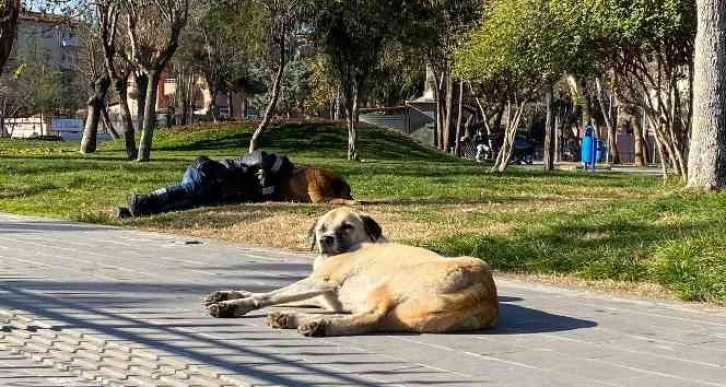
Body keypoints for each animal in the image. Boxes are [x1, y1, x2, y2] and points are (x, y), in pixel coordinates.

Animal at [203, 208, 500, 338]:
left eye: (347, 227)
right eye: (322, 228)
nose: (325, 240)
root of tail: (486, 293)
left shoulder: (320, 281)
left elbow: (268, 295)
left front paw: (232, 305)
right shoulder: (321, 294)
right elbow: (269, 291)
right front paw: (225, 294)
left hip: (386, 286)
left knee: (371, 317)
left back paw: (316, 324)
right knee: (374, 321)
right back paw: (296, 319)